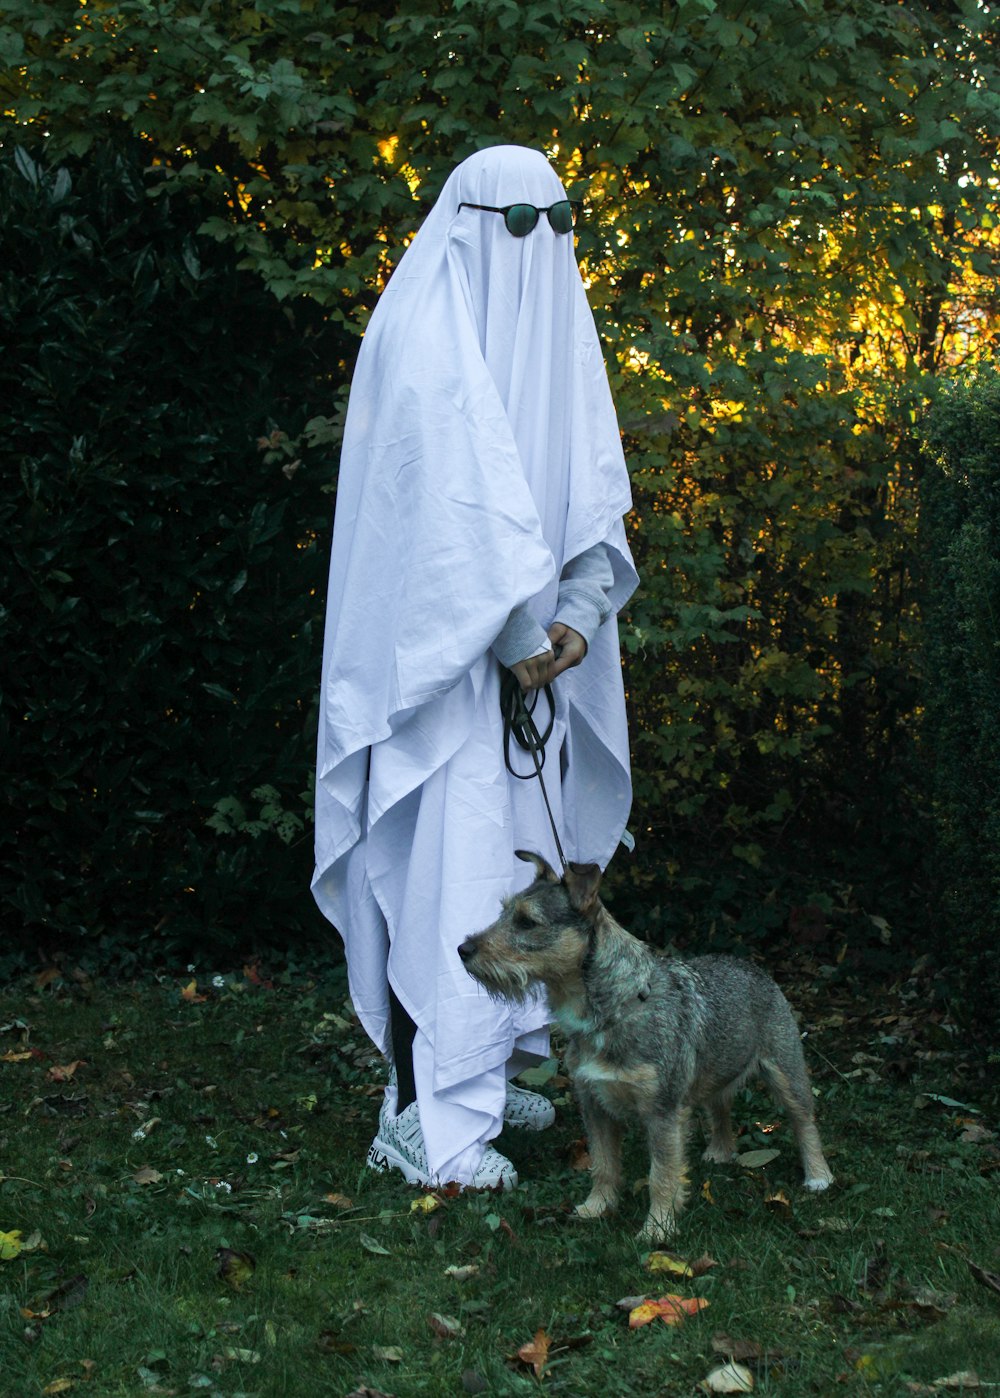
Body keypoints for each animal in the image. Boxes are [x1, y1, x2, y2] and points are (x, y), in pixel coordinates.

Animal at [461, 849, 839, 1235]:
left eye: (527, 922)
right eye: (504, 911)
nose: (463, 949)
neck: (614, 1009)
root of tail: (754, 968)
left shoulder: (663, 1113)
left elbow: (662, 1175)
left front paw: (657, 1228)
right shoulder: (594, 1104)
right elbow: (604, 1164)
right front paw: (597, 1206)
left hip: (786, 1072)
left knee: (804, 1121)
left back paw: (818, 1175)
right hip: (714, 1074)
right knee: (720, 1108)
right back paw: (720, 1151)